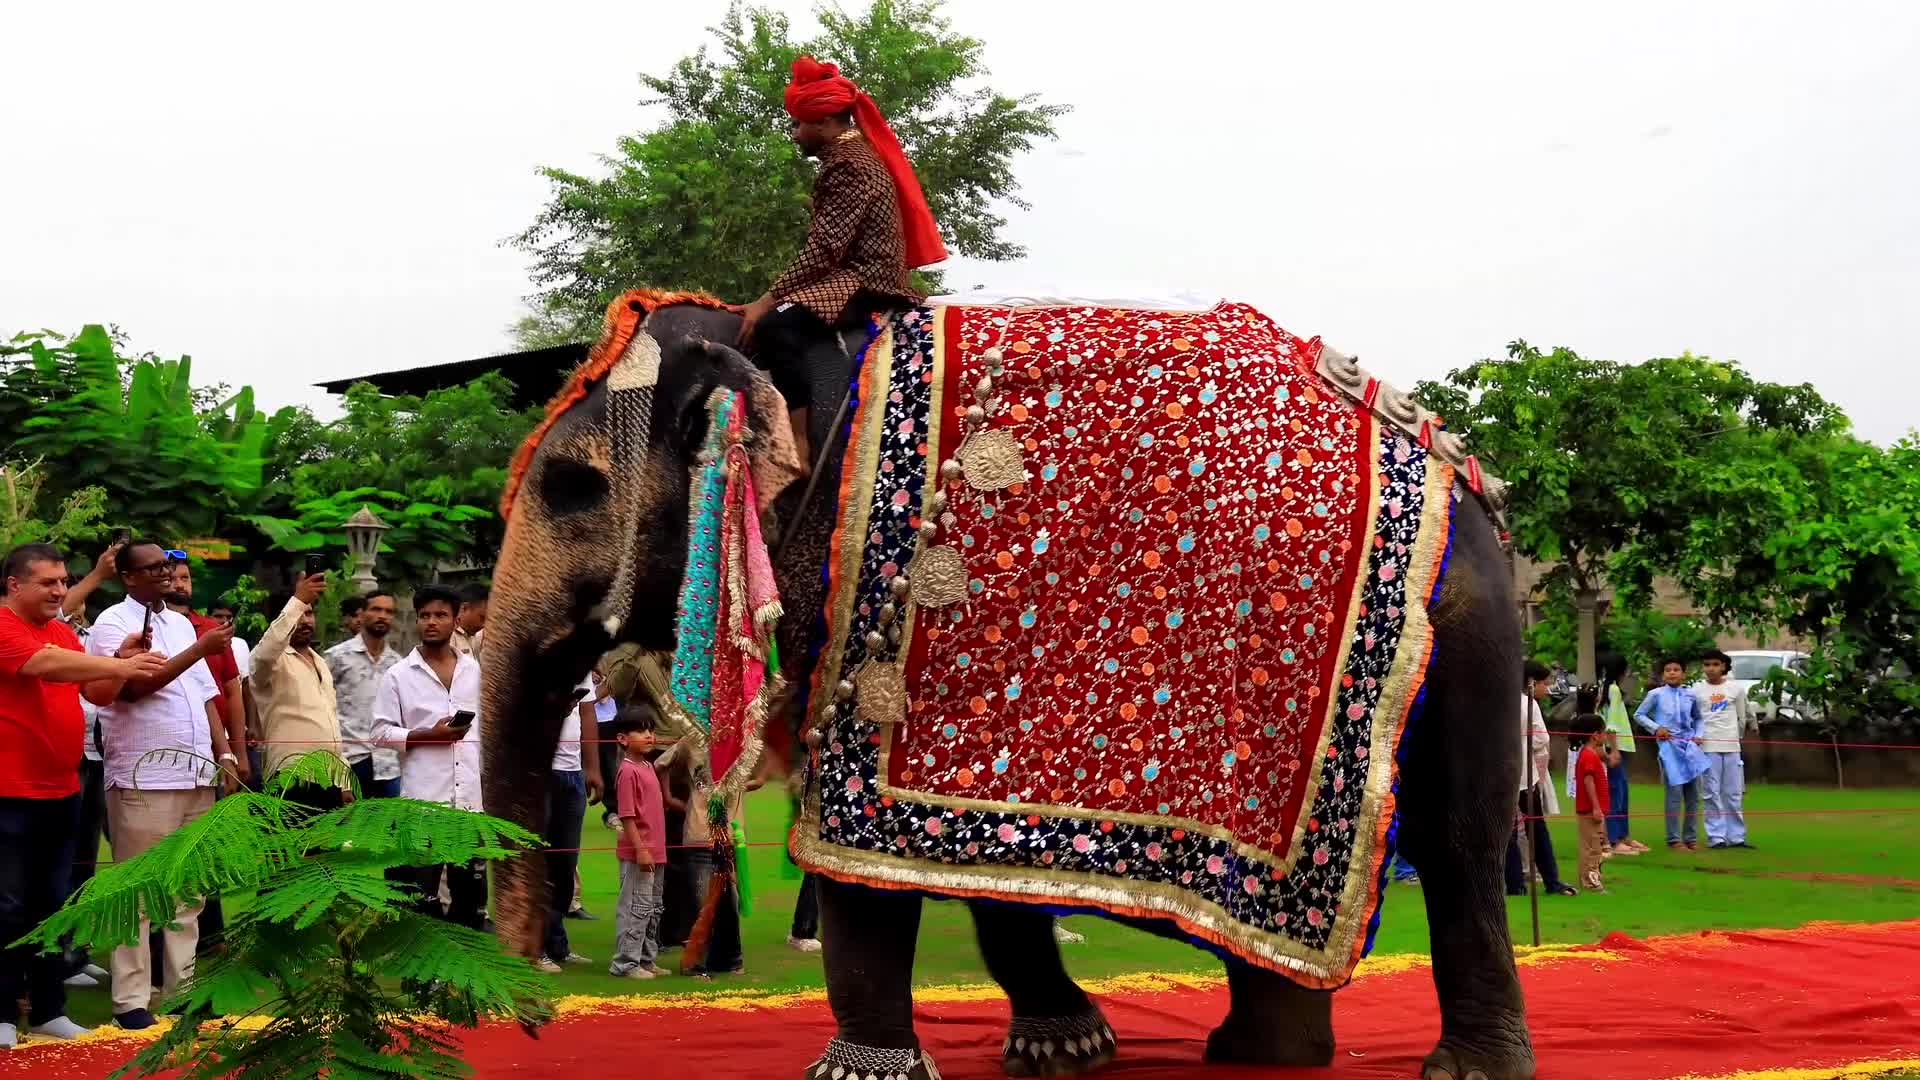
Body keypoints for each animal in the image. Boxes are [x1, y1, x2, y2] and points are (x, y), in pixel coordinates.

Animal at [481, 291, 1533, 1080]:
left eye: (571, 488)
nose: (531, 1019)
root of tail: (1462, 472)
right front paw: (1065, 1047)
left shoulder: (875, 593)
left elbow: (856, 847)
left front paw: (866, 1073)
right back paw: (1264, 1053)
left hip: (1468, 635)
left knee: (1457, 837)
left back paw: (1464, 1068)